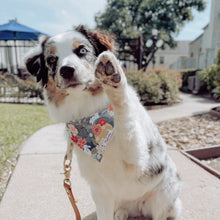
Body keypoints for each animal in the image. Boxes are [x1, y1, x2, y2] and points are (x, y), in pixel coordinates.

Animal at [25, 26, 180, 220]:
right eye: (52, 59)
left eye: (82, 50)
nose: (66, 70)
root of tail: (136, 207)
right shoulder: (100, 190)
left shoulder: (137, 160)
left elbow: (125, 118)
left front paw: (113, 77)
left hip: (163, 197)